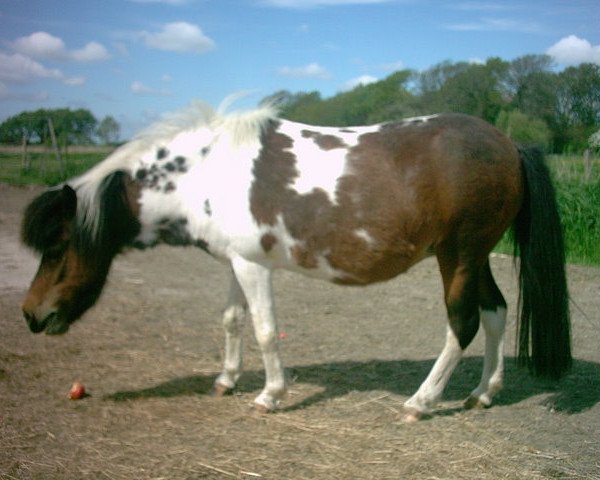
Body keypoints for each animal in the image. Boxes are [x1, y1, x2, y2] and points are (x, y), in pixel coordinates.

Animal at [19, 101, 572, 420]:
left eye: (56, 246)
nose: (31, 315)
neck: (202, 170)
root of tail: (509, 144)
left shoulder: (253, 267)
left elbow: (265, 330)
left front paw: (270, 395)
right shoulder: (235, 262)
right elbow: (232, 319)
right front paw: (225, 380)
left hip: (458, 255)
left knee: (463, 323)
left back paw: (421, 402)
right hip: (475, 256)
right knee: (496, 312)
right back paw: (483, 393)